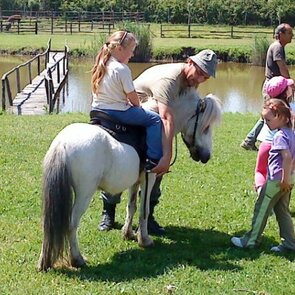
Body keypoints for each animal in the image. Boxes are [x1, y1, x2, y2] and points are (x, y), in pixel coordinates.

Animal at [37, 91, 222, 272]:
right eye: (206, 127)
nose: (206, 156)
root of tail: (62, 144)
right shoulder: (149, 177)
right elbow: (144, 209)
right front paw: (145, 240)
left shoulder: (135, 181)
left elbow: (131, 206)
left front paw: (128, 234)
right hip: (84, 194)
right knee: (71, 224)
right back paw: (77, 259)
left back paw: (44, 261)